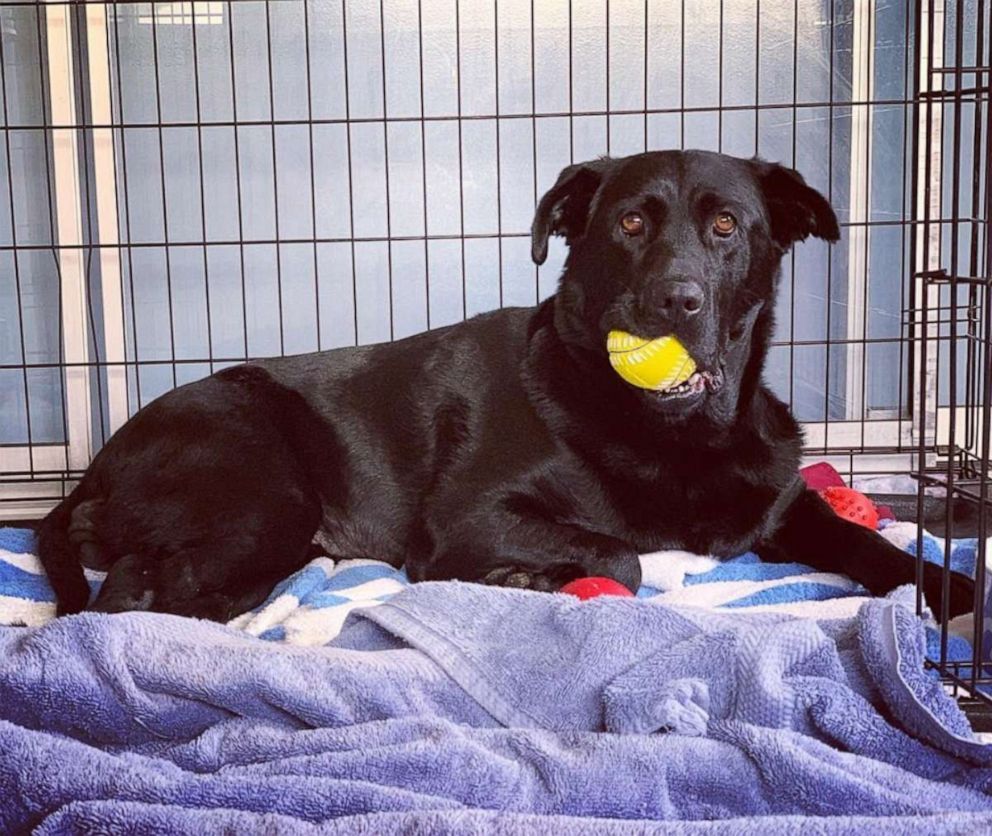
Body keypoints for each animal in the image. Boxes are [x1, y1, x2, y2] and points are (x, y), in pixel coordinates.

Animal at [36, 150, 968, 620]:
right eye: (631, 222)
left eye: (727, 225)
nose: (675, 302)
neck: (673, 434)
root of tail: (94, 469)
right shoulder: (472, 515)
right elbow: (622, 555)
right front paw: (525, 580)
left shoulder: (780, 505)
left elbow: (881, 550)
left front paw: (960, 602)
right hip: (266, 490)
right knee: (124, 597)